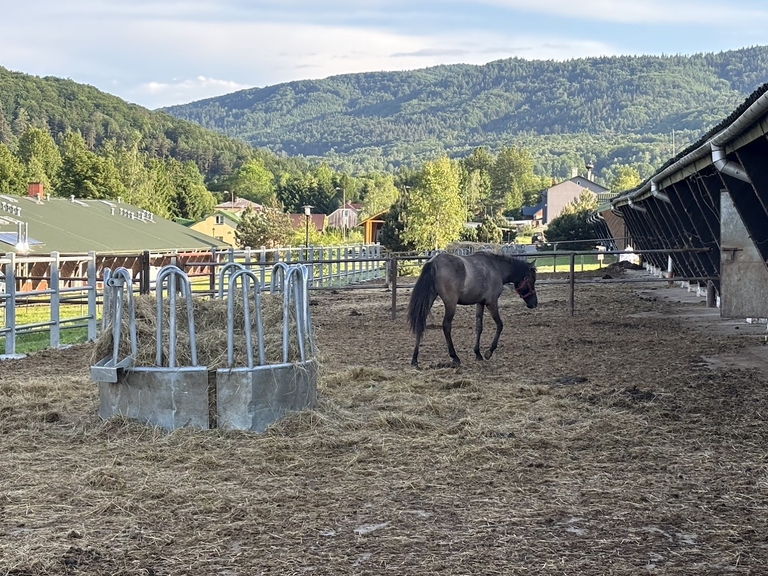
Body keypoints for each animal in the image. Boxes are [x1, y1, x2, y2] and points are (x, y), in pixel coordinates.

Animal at [404, 251, 536, 366]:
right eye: (532, 280)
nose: (534, 303)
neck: (495, 268)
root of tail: (434, 262)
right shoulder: (492, 302)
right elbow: (500, 325)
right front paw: (489, 352)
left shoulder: (480, 303)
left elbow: (479, 327)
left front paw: (478, 353)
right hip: (451, 304)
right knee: (446, 326)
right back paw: (455, 357)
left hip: (429, 300)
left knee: (420, 323)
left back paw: (415, 359)